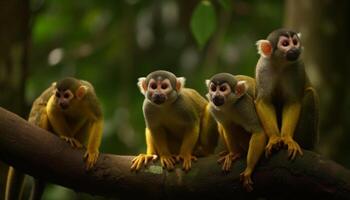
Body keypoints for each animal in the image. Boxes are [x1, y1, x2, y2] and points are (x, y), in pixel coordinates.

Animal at [254, 28, 320, 159]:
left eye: (295, 42)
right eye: (285, 44)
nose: (295, 49)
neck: (280, 64)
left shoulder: (298, 67)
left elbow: (292, 102)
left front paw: (288, 139)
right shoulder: (263, 67)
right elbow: (264, 101)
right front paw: (274, 138)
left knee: (310, 94)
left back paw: (305, 144)